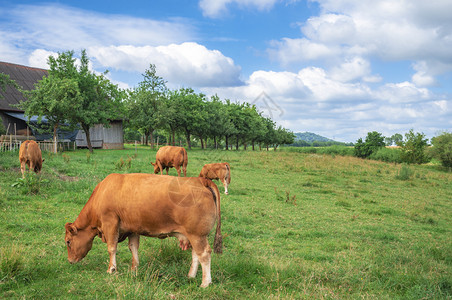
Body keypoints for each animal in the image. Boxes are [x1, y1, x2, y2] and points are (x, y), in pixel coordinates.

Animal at [64, 173, 222, 288]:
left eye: (68, 242)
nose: (70, 261)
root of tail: (201, 180)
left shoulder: (110, 223)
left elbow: (111, 248)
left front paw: (112, 269)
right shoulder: (133, 228)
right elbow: (133, 247)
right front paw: (134, 269)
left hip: (197, 235)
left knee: (204, 254)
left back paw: (205, 283)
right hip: (194, 235)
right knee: (196, 254)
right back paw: (191, 276)